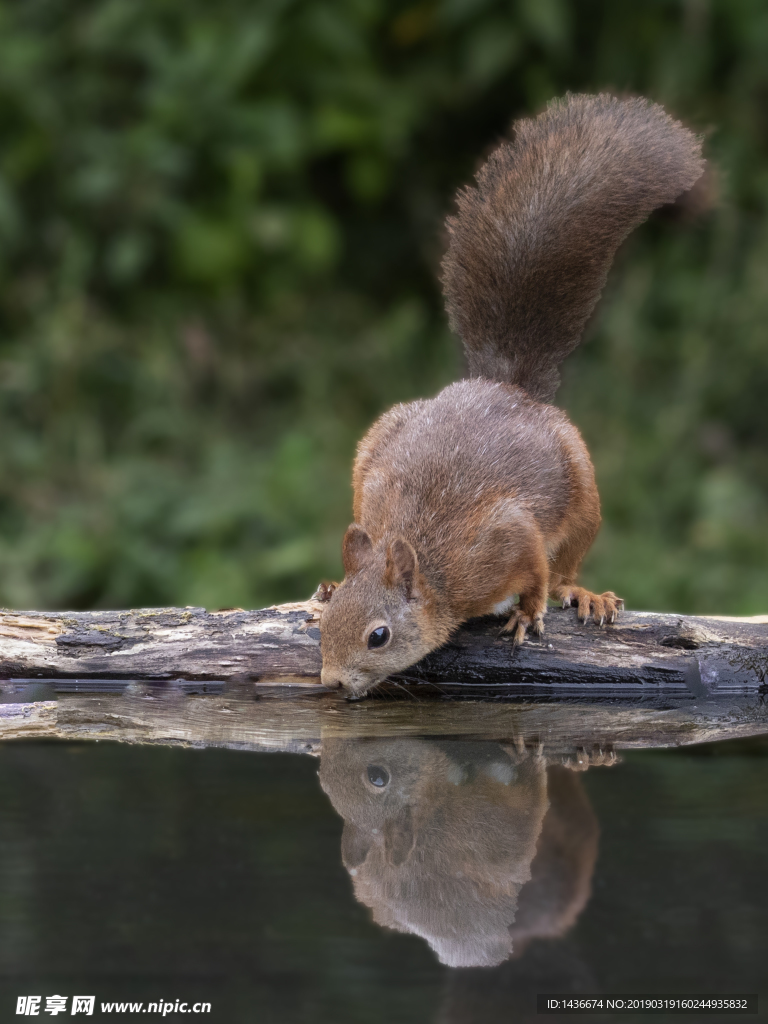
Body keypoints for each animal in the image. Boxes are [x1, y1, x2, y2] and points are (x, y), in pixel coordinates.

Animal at [315, 94, 708, 696]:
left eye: (378, 636)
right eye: (326, 629)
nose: (332, 683)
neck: (431, 564)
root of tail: (503, 385)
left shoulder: (505, 538)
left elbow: (537, 573)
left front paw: (527, 612)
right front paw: (330, 590)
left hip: (584, 493)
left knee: (565, 566)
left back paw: (583, 594)